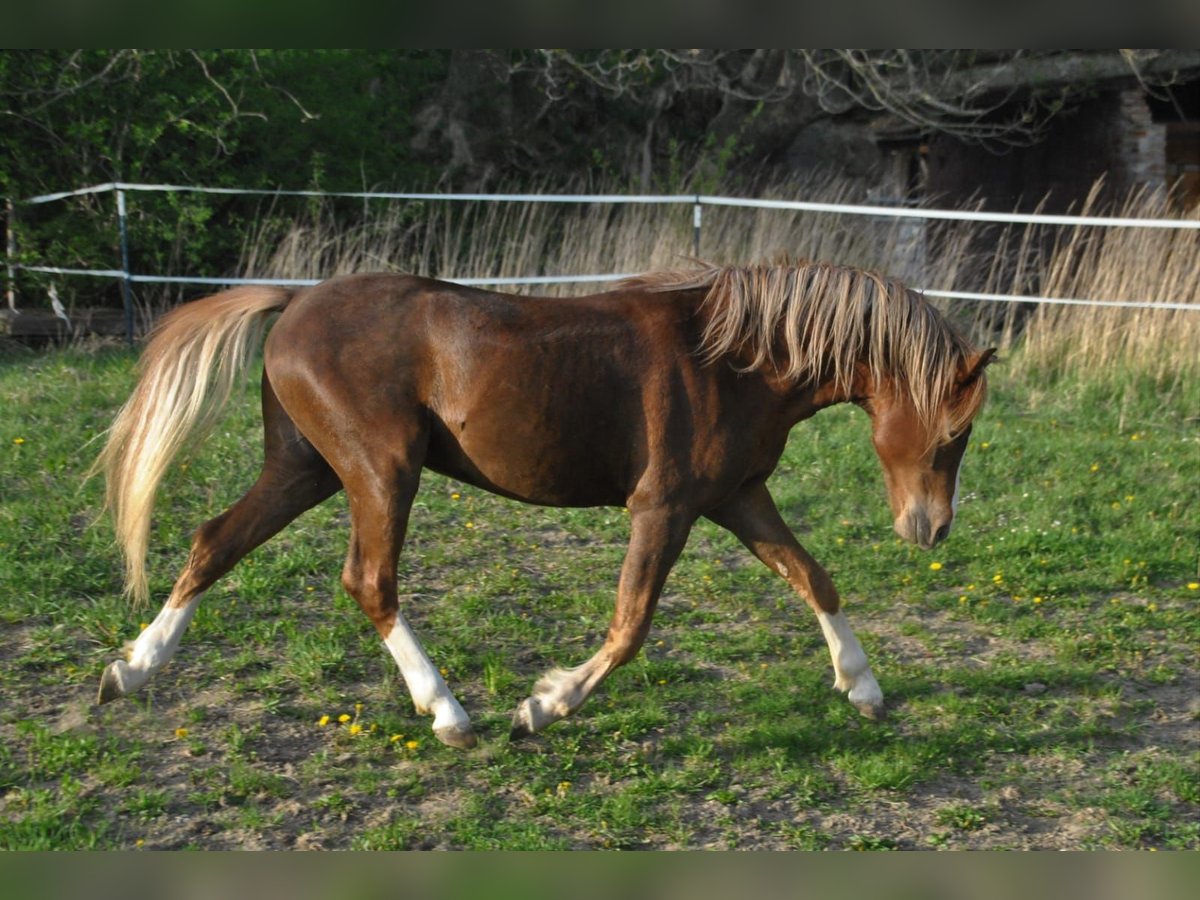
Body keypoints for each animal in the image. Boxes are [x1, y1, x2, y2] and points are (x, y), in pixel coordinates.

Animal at [93, 262, 994, 749]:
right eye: (956, 430)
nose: (930, 529)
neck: (733, 361)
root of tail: (294, 303)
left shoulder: (737, 496)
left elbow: (814, 578)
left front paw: (864, 689)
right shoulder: (663, 507)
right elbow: (629, 628)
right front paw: (541, 707)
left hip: (304, 468)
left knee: (215, 540)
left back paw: (131, 670)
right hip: (381, 471)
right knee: (369, 581)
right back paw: (450, 714)